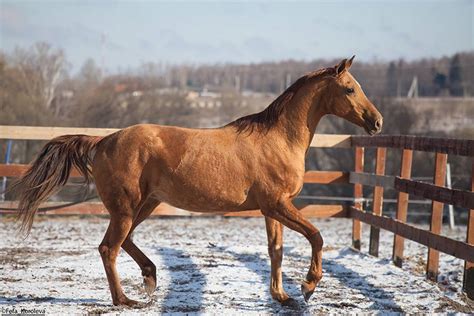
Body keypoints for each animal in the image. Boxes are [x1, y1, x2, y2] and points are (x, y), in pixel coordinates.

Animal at [12, 56, 382, 306]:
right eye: (350, 88)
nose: (377, 122)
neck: (278, 138)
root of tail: (103, 141)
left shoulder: (271, 209)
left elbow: (275, 251)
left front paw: (281, 296)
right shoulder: (278, 204)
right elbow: (316, 237)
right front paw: (307, 286)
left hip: (146, 204)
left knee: (124, 242)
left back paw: (150, 277)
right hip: (126, 209)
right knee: (109, 248)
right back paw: (125, 300)